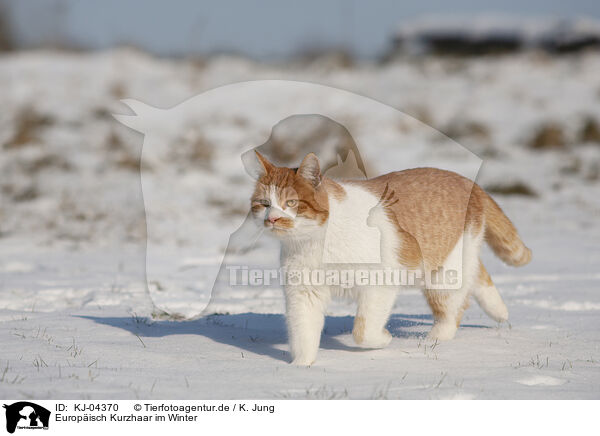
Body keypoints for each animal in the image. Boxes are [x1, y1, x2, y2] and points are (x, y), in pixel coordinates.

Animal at [251, 152, 532, 366]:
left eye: (291, 203)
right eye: (264, 203)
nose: (272, 219)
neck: (315, 242)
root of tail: (468, 181)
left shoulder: (379, 282)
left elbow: (363, 331)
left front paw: (385, 339)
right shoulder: (304, 294)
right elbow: (303, 335)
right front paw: (300, 369)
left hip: (442, 276)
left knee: (452, 311)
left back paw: (434, 339)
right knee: (479, 275)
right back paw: (499, 311)